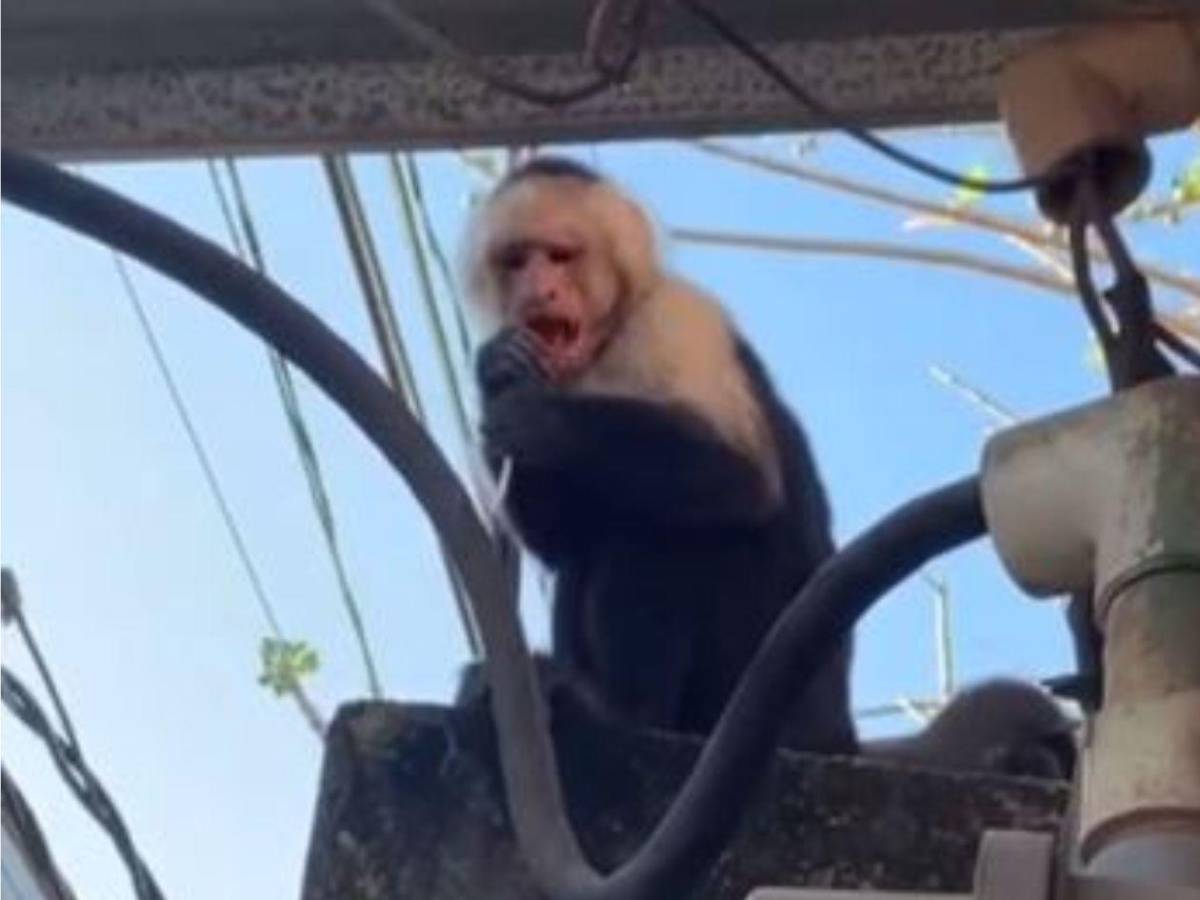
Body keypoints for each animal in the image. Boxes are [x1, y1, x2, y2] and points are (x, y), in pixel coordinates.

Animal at [457, 155, 856, 755]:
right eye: (516, 261)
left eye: (559, 256)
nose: (537, 291)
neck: (610, 335)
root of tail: (838, 730)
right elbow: (558, 538)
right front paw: (496, 374)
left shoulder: (674, 318)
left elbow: (743, 481)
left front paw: (542, 420)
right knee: (593, 539)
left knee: (656, 528)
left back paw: (624, 712)